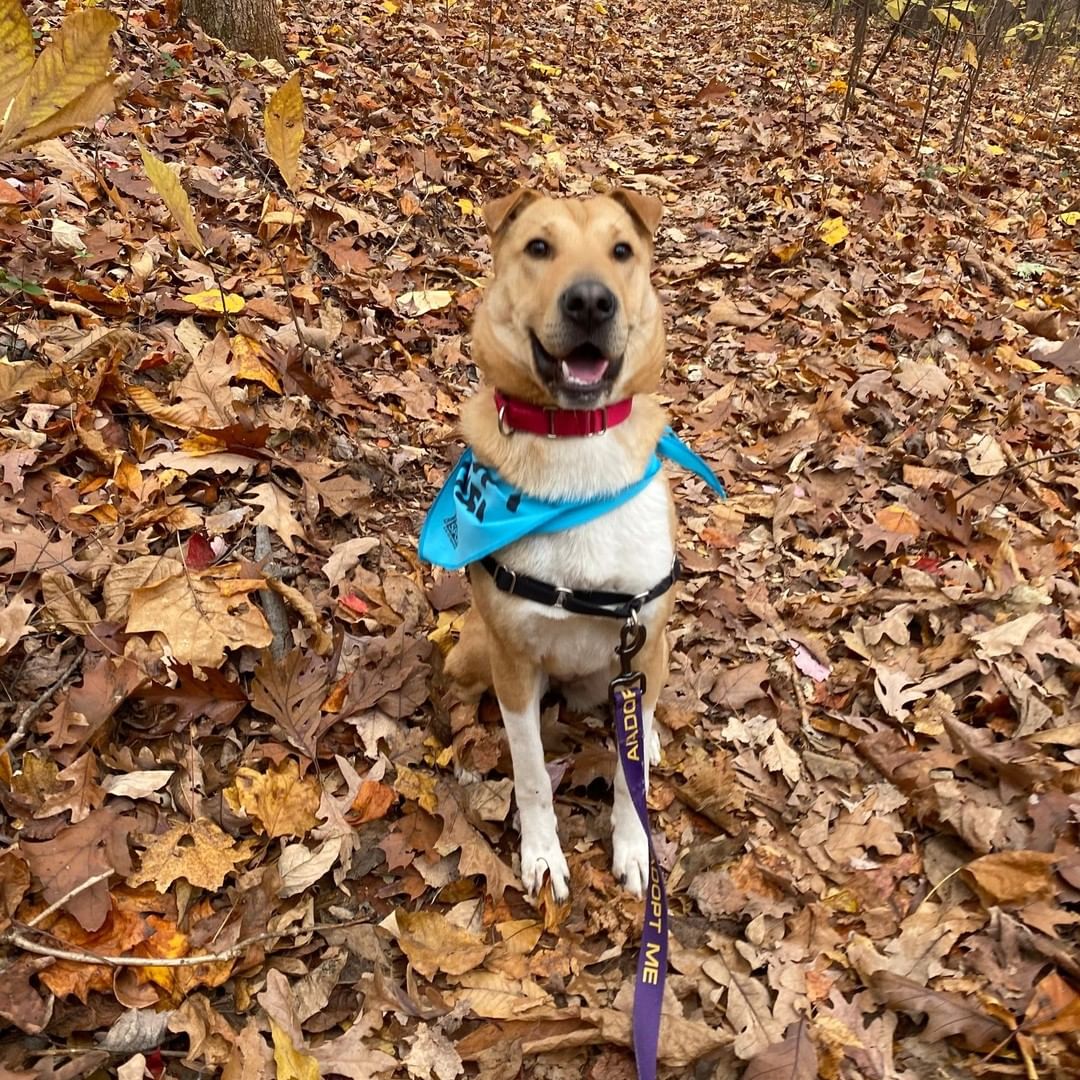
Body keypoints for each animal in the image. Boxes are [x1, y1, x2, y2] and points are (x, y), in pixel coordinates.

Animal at [416, 187, 721, 902]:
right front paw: (542, 856)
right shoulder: (514, 663)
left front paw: (634, 846)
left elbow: (629, 779)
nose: (589, 301)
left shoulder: (642, 637)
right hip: (477, 649)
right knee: (457, 691)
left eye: (622, 251)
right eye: (538, 247)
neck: (576, 445)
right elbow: (530, 775)